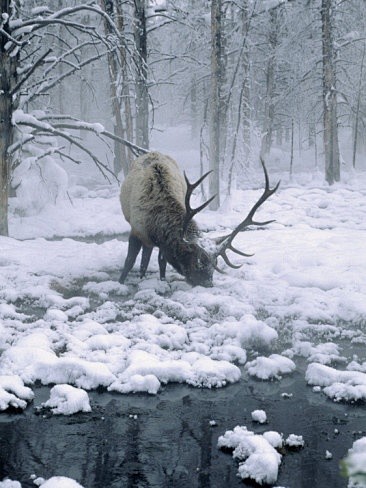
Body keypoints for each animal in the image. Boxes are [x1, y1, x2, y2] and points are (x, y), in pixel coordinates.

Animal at [118, 152, 278, 286]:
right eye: (197, 262)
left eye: (215, 263)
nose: (208, 284)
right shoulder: (136, 230)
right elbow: (129, 261)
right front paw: (120, 282)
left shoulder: (163, 243)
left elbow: (161, 262)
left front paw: (162, 280)